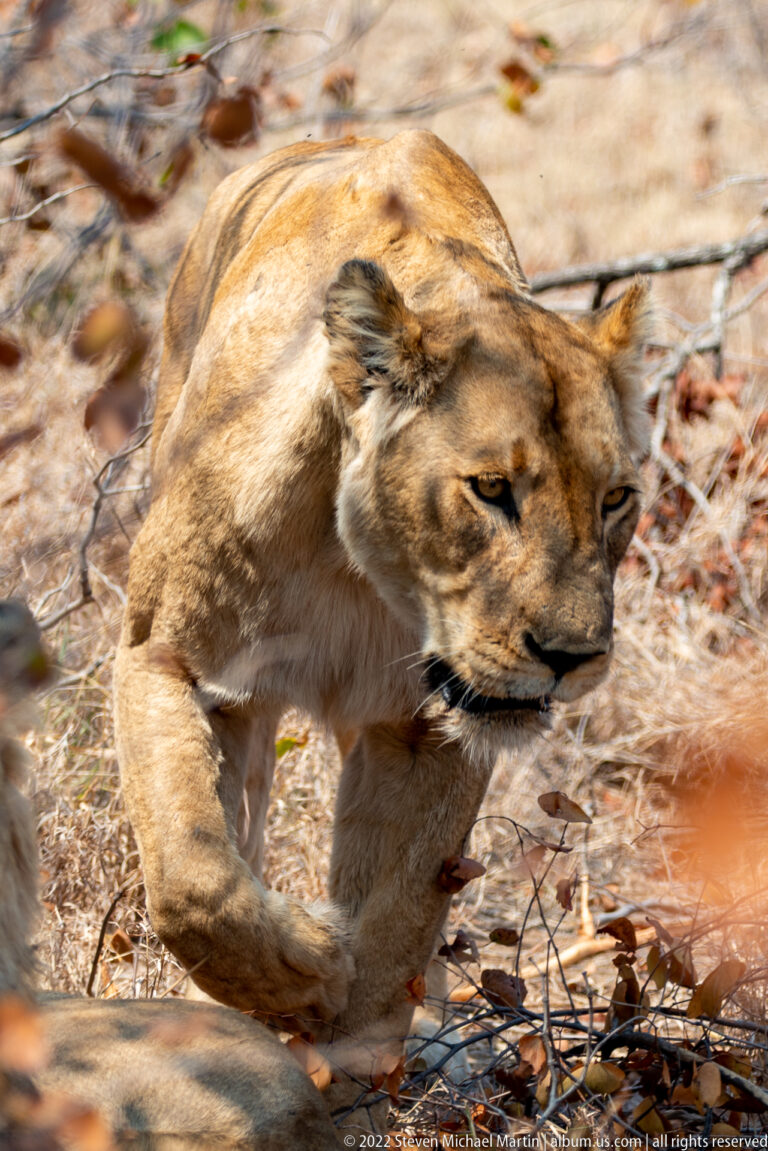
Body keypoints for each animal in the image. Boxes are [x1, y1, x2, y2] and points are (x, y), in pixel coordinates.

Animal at [114, 129, 650, 1116]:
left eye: (616, 499)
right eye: (491, 488)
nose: (571, 656)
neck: (358, 569)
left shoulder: (428, 723)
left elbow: (401, 905)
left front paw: (359, 1062)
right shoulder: (162, 654)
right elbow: (192, 877)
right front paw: (304, 971)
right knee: (236, 825)